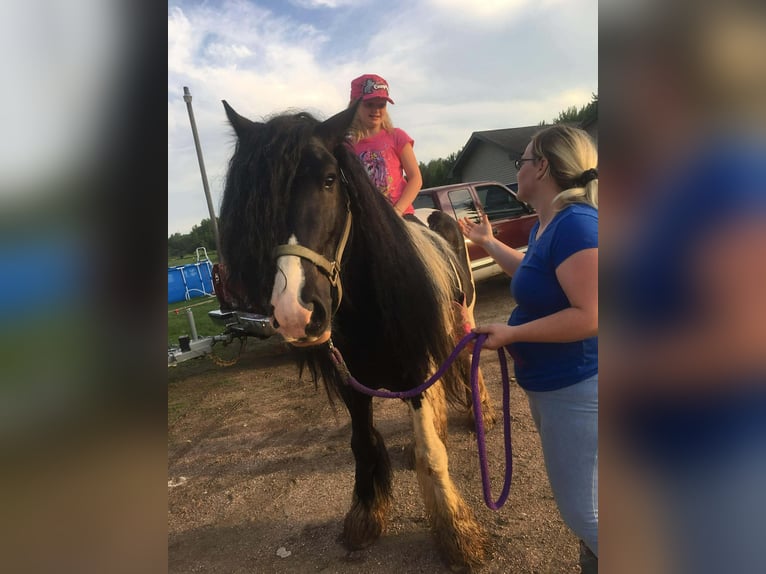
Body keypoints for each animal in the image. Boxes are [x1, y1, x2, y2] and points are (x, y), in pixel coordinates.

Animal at [217, 98, 494, 569]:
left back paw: (483, 414)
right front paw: (366, 516)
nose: (296, 312)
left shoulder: (416, 367)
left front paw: (457, 534)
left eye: (330, 180)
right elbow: (362, 444)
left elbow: (431, 453)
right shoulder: (352, 384)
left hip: (465, 314)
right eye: (258, 198)